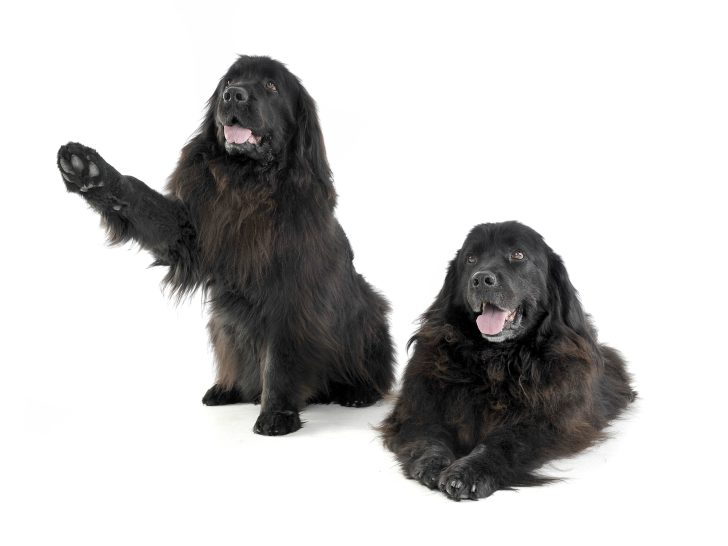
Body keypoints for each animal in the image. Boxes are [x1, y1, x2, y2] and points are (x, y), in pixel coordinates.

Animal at [58, 55, 392, 436]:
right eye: (229, 82)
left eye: (271, 86)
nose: (234, 95)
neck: (248, 184)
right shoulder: (189, 234)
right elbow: (143, 202)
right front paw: (89, 170)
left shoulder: (290, 293)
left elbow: (280, 357)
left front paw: (277, 413)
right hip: (222, 325)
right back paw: (227, 388)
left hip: (369, 311)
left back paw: (358, 391)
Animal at [378, 220, 636, 498]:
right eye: (471, 258)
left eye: (518, 255)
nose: (481, 279)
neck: (495, 361)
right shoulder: (419, 405)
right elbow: (429, 433)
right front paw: (433, 464)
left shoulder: (550, 421)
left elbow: (504, 442)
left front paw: (467, 472)